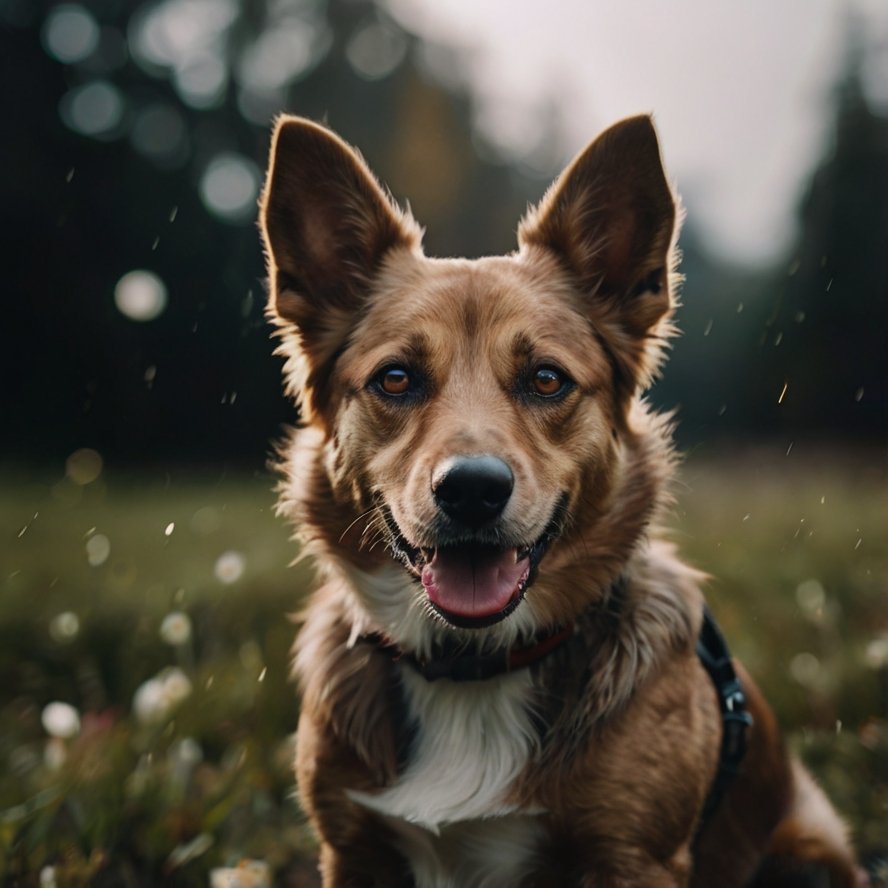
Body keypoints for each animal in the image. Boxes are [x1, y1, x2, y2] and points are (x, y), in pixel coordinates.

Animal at [258, 114, 868, 884]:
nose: (472, 490)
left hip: (805, 850)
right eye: (395, 379)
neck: (474, 666)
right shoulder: (353, 850)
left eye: (547, 379)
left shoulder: (634, 858)